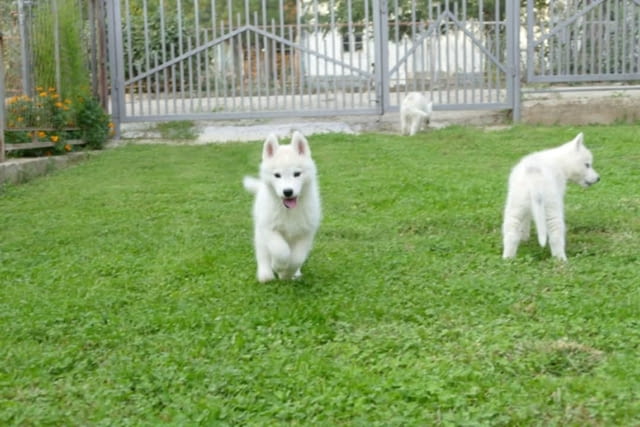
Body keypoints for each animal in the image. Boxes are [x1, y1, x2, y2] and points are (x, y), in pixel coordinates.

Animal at [242, 132, 322, 282]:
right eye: (277, 175)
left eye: (297, 174)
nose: (288, 192)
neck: (288, 210)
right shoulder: (269, 228)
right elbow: (281, 250)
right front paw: (278, 267)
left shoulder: (306, 232)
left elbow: (297, 258)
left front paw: (287, 273)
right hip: (260, 233)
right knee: (262, 253)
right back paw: (265, 274)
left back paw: (295, 274)